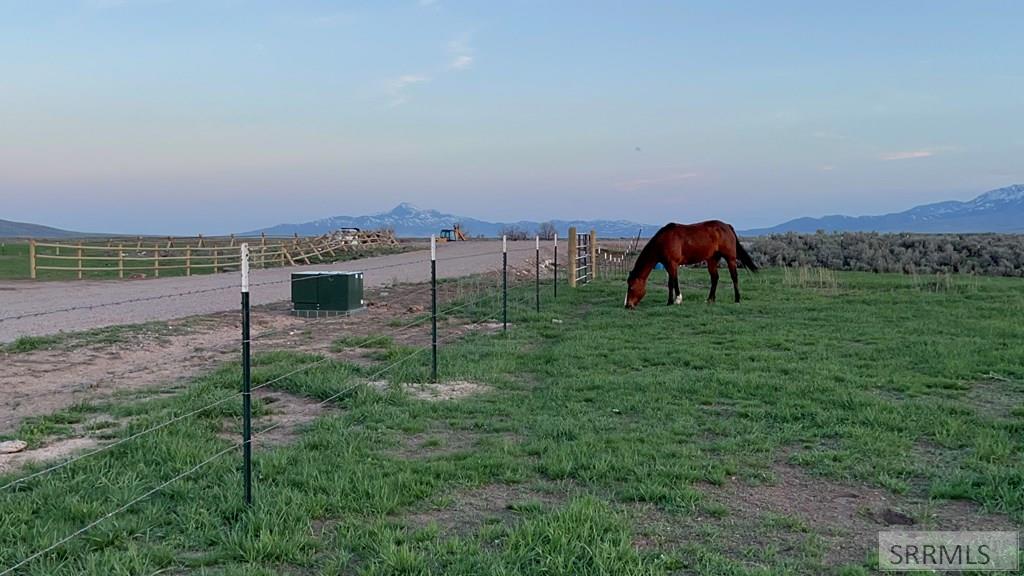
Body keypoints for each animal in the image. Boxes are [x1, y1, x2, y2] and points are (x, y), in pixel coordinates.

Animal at [618, 219, 757, 307]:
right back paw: (710, 300)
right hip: (712, 259)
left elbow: (673, 282)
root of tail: (727, 226)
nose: (627, 305)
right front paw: (672, 300)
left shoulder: (672, 264)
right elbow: (672, 282)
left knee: (734, 277)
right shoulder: (668, 265)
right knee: (715, 278)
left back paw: (737, 299)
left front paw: (675, 300)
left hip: (730, 259)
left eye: (631, 287)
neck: (663, 241)